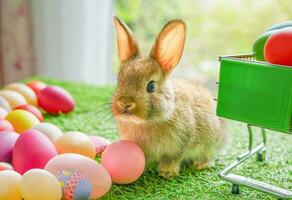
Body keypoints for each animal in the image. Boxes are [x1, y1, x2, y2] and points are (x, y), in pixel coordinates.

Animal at [110, 16, 227, 178]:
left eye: (151, 86)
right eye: (119, 81)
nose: (125, 103)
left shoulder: (178, 145)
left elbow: (171, 159)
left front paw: (167, 173)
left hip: (210, 142)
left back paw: (201, 165)